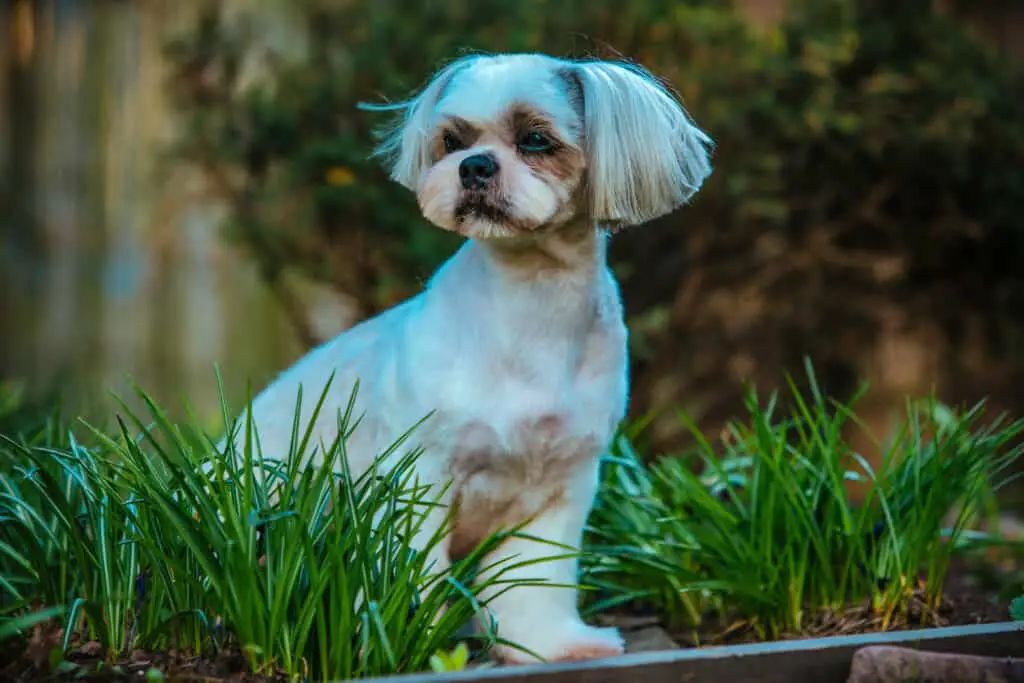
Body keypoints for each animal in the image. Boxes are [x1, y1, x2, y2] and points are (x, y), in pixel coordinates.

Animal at [230, 52, 712, 663]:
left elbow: (536, 584)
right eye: (451, 141)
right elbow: (410, 570)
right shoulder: (417, 477)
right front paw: (411, 640)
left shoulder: (561, 488)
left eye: (535, 139)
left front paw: (551, 644)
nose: (474, 166)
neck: (532, 305)